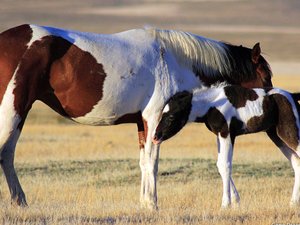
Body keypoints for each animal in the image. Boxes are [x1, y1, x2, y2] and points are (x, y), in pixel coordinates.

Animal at [0, 23, 272, 208]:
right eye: (265, 76)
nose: (271, 102)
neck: (175, 60)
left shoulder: (143, 122)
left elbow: (143, 162)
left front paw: (144, 203)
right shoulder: (154, 119)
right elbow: (152, 162)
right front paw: (152, 204)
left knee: (8, 154)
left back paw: (20, 201)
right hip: (14, 109)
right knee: (5, 151)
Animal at [152, 85, 300, 208]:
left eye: (171, 116)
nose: (155, 137)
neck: (212, 105)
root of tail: (292, 95)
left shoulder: (226, 133)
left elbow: (225, 164)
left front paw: (225, 204)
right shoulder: (220, 135)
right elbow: (220, 165)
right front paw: (236, 201)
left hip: (288, 130)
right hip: (275, 135)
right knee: (296, 162)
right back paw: (293, 202)